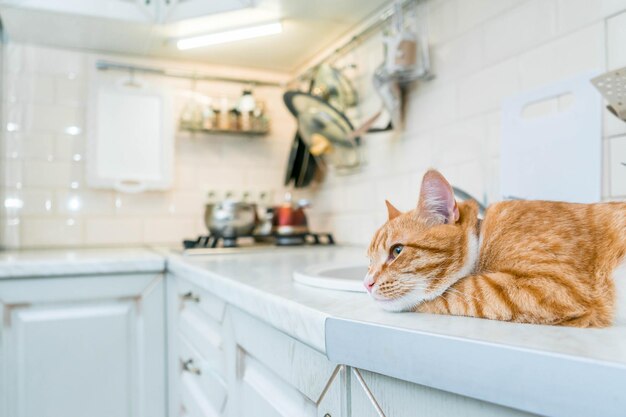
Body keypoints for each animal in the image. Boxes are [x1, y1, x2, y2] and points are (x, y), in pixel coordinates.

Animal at [366, 168, 624, 324]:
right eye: (369, 261)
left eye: (397, 251)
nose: (366, 284)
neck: (482, 239)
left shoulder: (555, 285)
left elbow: (458, 292)